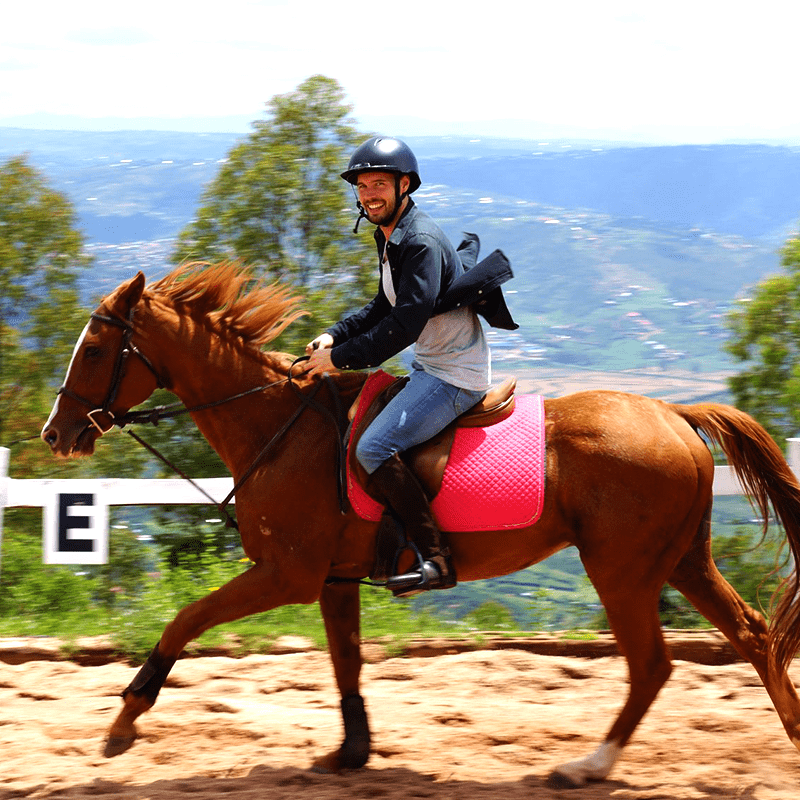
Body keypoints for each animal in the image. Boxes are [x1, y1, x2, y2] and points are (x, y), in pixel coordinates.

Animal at [41, 261, 800, 787]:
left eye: (95, 351)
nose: (56, 433)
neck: (278, 428)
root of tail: (674, 412)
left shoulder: (286, 573)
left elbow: (185, 620)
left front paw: (125, 719)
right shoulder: (333, 580)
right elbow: (345, 659)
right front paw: (351, 752)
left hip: (621, 569)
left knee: (652, 664)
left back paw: (588, 766)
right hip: (681, 559)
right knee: (751, 634)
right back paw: (790, 734)